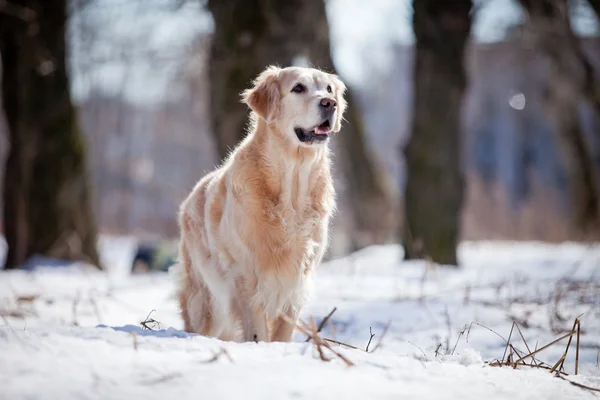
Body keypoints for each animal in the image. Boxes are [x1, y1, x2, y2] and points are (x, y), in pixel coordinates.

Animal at [173, 67, 346, 342]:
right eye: (298, 88)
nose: (330, 103)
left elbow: (283, 331)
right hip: (207, 300)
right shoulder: (247, 277)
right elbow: (257, 331)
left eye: (328, 89)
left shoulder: (297, 279)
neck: (292, 186)